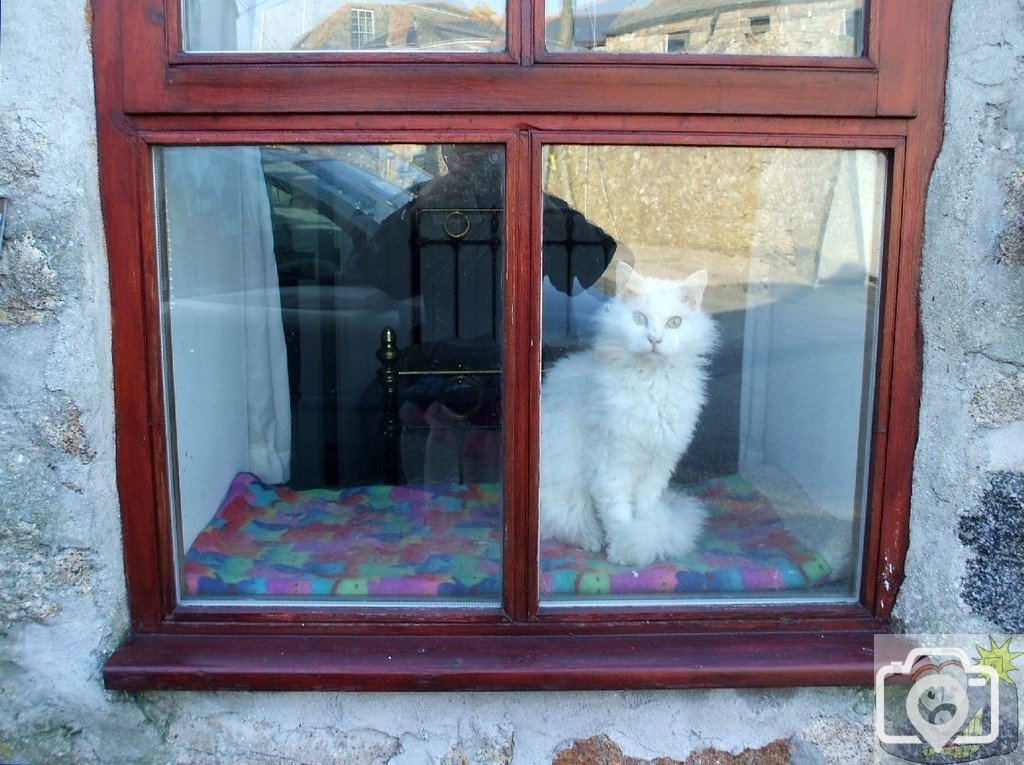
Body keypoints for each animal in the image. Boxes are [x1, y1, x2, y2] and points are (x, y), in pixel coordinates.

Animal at [540, 264, 716, 569]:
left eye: (674, 322)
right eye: (639, 318)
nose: (655, 339)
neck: (653, 384)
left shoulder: (657, 467)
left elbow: (644, 510)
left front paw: (641, 539)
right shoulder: (611, 466)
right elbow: (618, 515)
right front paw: (624, 551)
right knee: (566, 523)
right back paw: (592, 540)